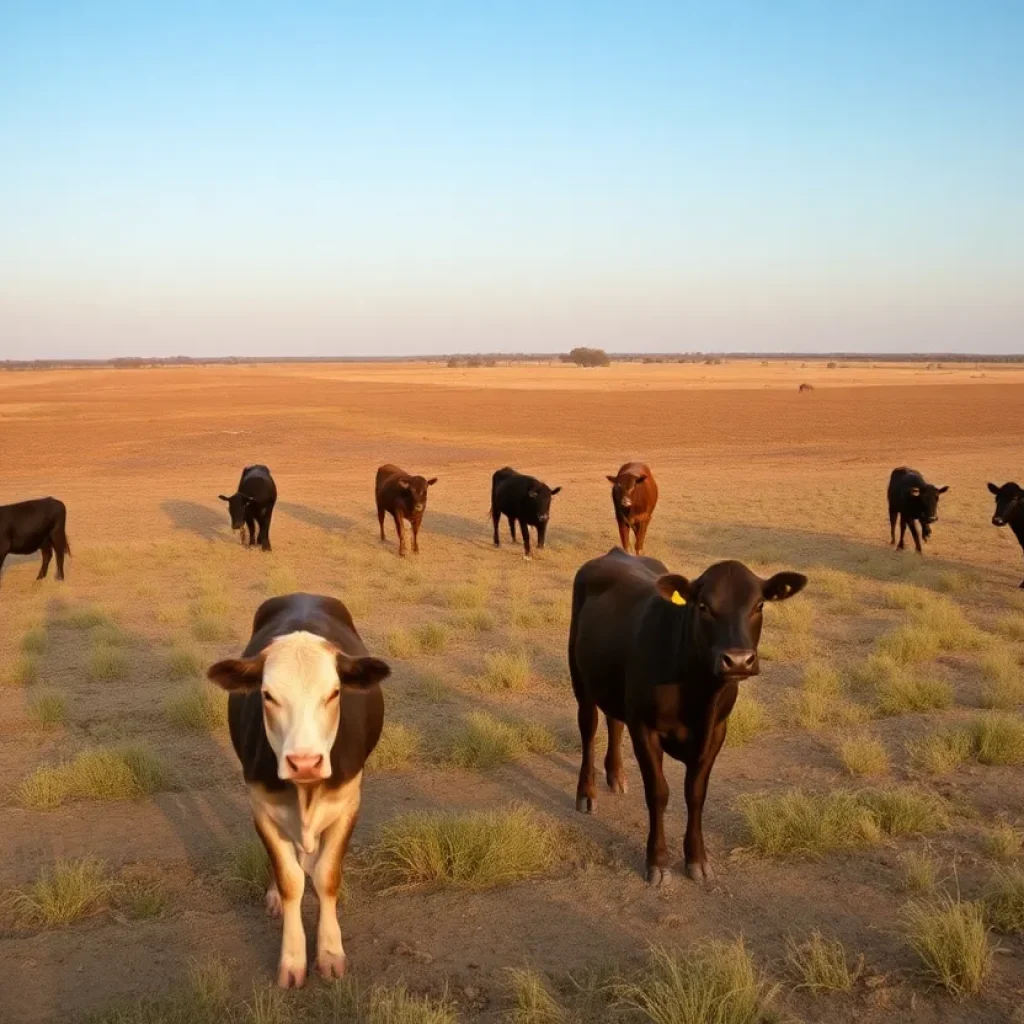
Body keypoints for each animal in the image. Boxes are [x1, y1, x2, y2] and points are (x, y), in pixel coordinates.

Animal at [207, 593, 390, 988]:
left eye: (334, 693)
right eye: (268, 695)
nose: (304, 762)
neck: (306, 793)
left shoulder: (349, 803)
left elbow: (326, 876)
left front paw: (330, 950)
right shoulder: (262, 808)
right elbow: (290, 879)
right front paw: (292, 957)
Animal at [568, 548, 807, 886]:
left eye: (759, 605)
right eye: (704, 606)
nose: (738, 660)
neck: (697, 695)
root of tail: (616, 552)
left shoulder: (717, 730)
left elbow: (695, 794)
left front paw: (697, 859)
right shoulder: (645, 727)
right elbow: (658, 793)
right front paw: (657, 861)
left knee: (614, 722)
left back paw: (616, 775)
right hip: (581, 680)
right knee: (588, 731)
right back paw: (586, 794)